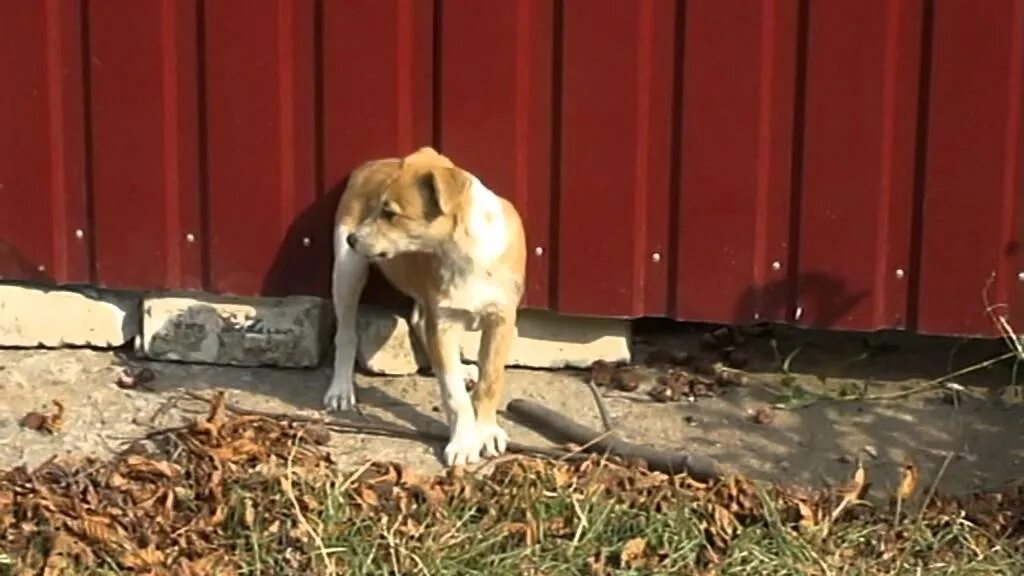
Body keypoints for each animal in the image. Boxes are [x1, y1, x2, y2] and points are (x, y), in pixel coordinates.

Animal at [321, 145, 528, 463]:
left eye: (390, 213)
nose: (352, 239)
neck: (464, 251)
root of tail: (370, 164)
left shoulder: (501, 320)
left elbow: (490, 380)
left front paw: (487, 432)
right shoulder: (443, 322)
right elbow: (454, 394)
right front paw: (463, 443)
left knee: (418, 320)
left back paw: (464, 369)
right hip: (347, 271)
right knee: (345, 333)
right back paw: (340, 390)